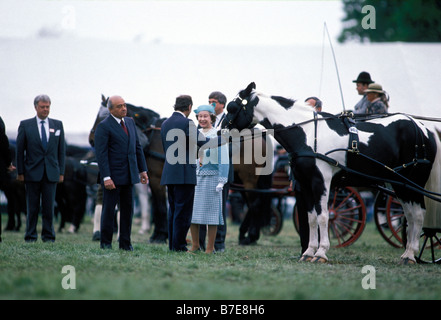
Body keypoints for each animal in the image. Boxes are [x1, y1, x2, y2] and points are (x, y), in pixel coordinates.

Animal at [223, 82, 440, 264]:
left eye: (232, 108)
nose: (220, 132)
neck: (308, 133)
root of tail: (423, 128)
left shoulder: (322, 181)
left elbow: (324, 216)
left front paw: (321, 253)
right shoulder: (304, 183)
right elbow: (310, 217)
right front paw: (308, 252)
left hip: (414, 181)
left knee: (418, 214)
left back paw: (411, 255)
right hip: (399, 184)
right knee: (409, 215)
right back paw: (407, 253)